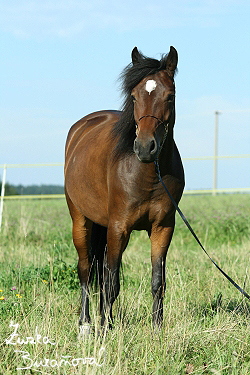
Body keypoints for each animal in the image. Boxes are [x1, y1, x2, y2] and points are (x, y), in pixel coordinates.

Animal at [64, 47, 185, 334]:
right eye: (133, 96)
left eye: (170, 96)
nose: (145, 147)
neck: (148, 175)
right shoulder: (119, 227)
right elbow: (111, 283)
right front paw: (105, 329)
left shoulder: (163, 228)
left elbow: (157, 281)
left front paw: (156, 329)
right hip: (80, 221)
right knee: (86, 269)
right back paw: (86, 324)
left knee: (99, 270)